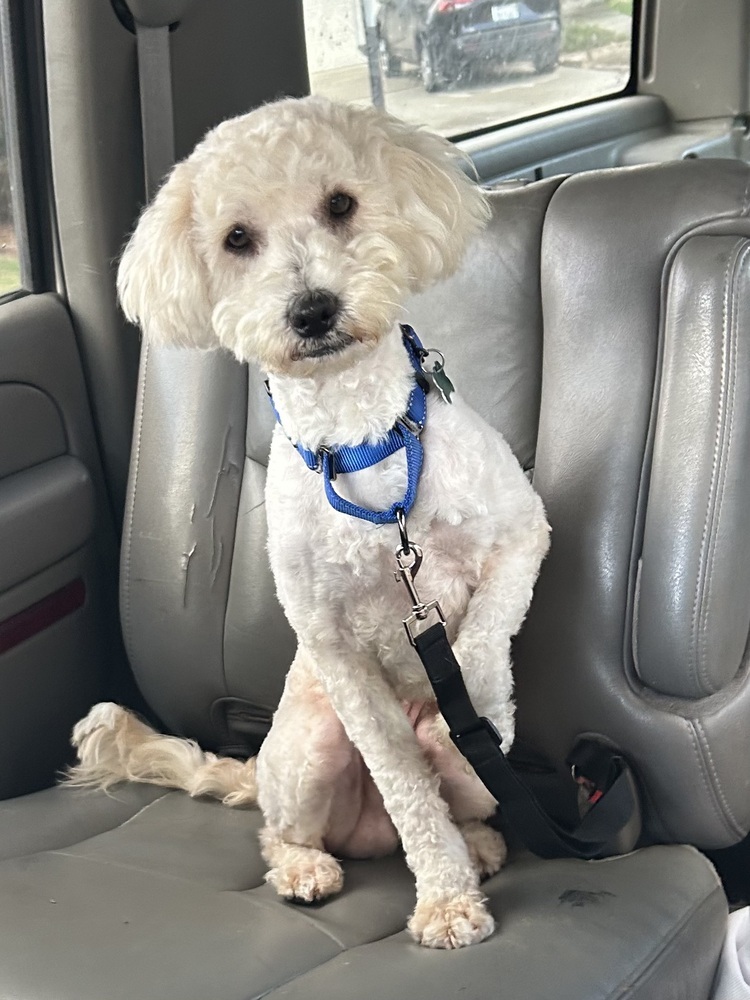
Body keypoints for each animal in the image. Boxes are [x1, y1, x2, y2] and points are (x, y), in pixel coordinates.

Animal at [69, 97, 552, 948]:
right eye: (236, 238)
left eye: (340, 204)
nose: (311, 308)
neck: (362, 444)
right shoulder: (333, 650)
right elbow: (404, 779)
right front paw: (444, 899)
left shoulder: (524, 530)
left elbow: (487, 634)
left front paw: (473, 704)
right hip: (306, 749)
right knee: (281, 830)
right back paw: (306, 865)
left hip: (471, 777)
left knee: (463, 788)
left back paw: (480, 834)